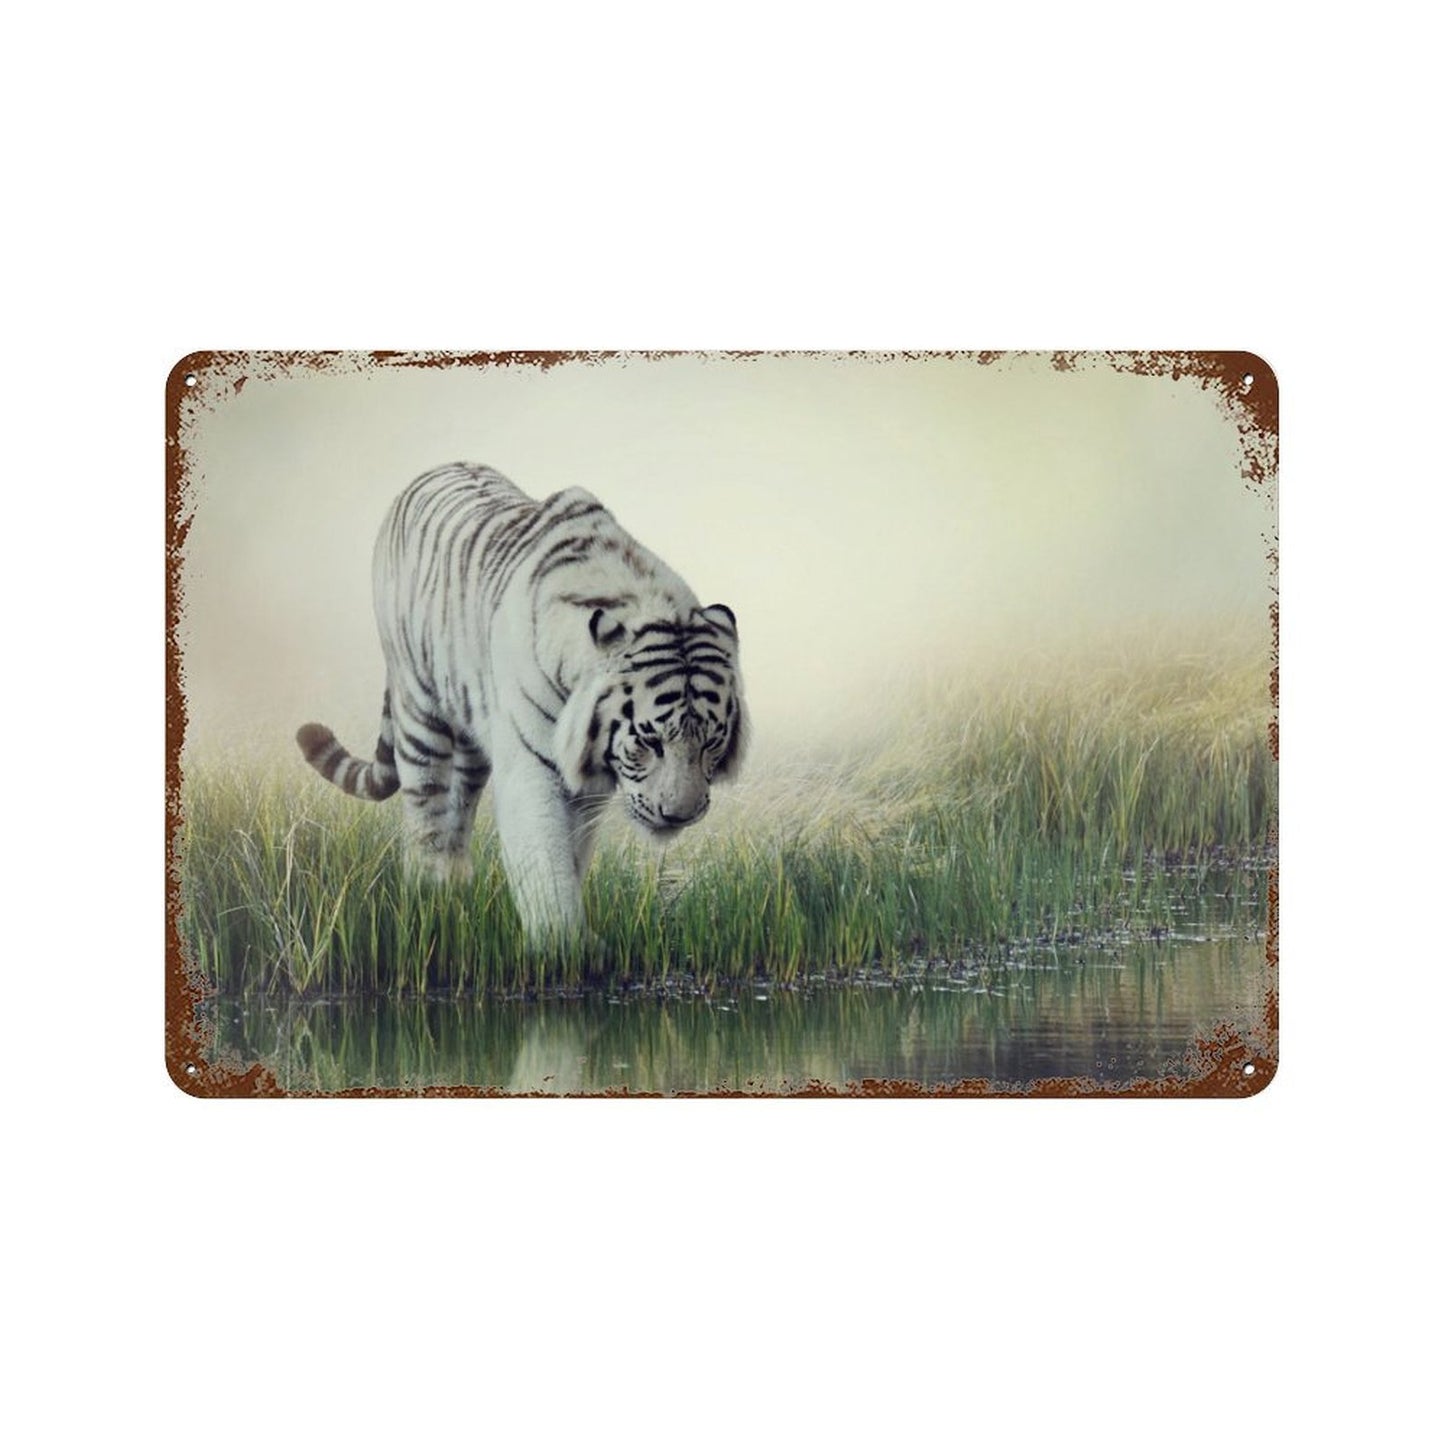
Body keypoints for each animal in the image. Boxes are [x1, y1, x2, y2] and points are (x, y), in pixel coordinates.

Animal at [296, 463, 748, 942]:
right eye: (649, 741)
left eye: (711, 742)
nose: (679, 816)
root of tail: (435, 469)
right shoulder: (532, 766)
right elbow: (544, 857)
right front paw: (563, 943)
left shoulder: (585, 785)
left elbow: (572, 853)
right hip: (418, 708)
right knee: (425, 808)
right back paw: (428, 892)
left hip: (473, 734)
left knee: (459, 806)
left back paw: (457, 885)